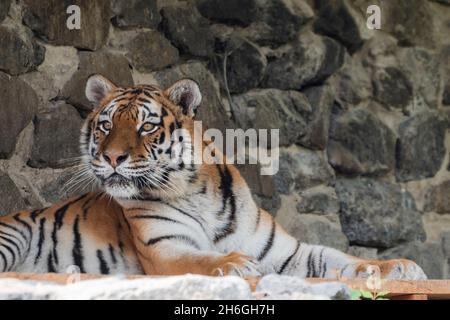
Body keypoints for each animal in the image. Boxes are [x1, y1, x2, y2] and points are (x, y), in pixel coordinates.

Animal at [0, 75, 428, 280]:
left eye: (145, 127)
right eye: (106, 125)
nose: (112, 156)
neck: (193, 191)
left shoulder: (285, 253)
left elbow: (337, 257)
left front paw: (397, 266)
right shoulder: (165, 250)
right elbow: (202, 259)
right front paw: (236, 264)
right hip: (13, 235)